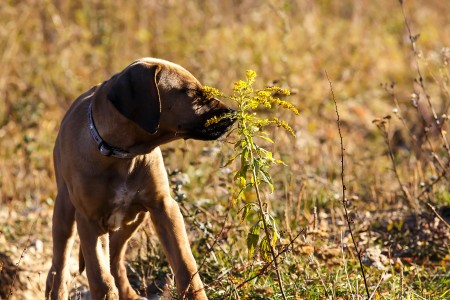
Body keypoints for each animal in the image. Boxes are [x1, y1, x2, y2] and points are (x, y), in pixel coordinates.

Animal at [45, 57, 234, 298]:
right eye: (193, 93)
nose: (233, 114)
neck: (121, 154)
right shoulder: (88, 220)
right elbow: (100, 279)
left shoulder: (164, 208)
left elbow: (185, 265)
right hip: (65, 212)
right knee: (59, 266)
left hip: (133, 218)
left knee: (115, 257)